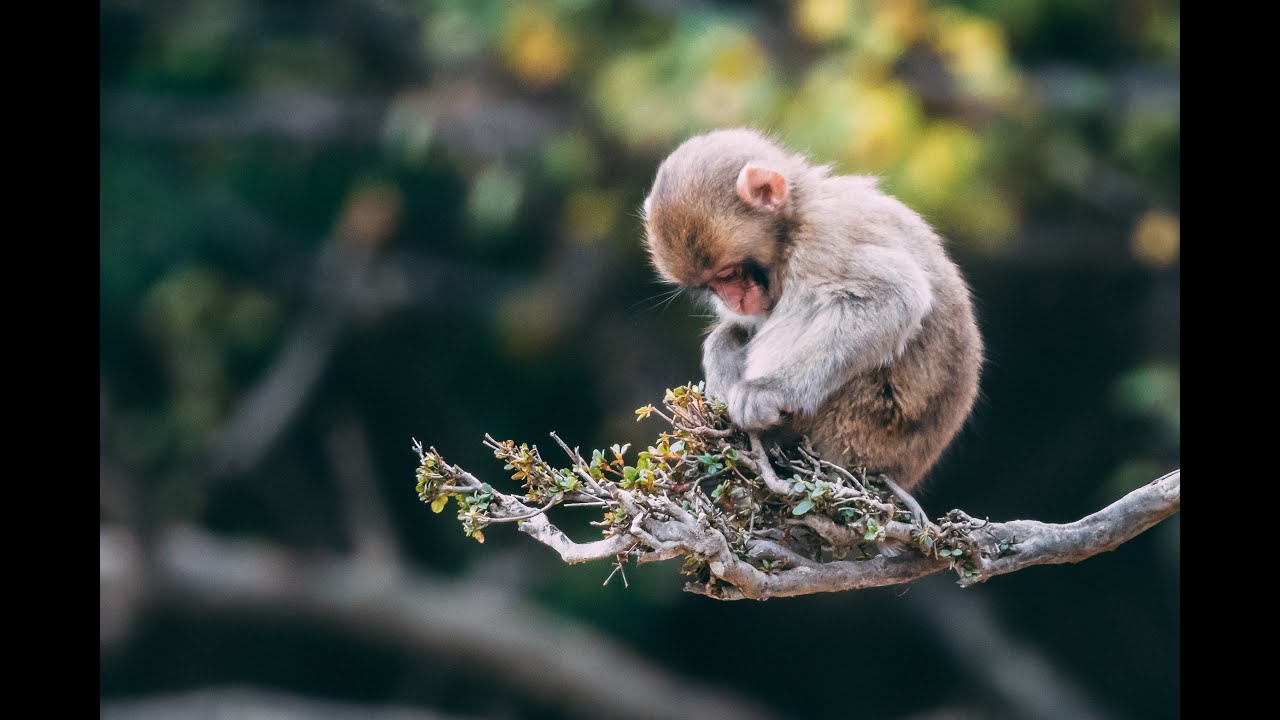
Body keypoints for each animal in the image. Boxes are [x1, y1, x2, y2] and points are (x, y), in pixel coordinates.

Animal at [641, 128, 982, 491]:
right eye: (711, 286)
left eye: (728, 274)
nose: (733, 301)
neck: (795, 218)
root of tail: (902, 473)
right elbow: (741, 327)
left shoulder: (824, 240)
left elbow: (893, 297)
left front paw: (769, 390)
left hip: (860, 426)